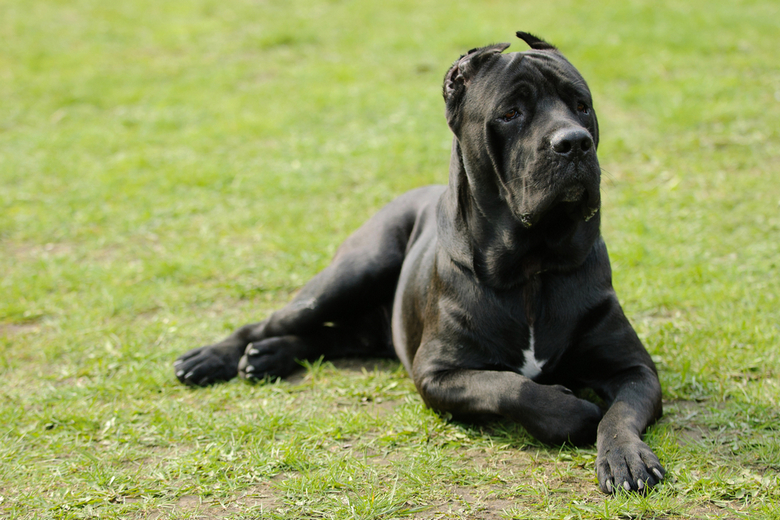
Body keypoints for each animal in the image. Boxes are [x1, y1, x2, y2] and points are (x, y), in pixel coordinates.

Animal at [175, 32, 664, 496]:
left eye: (581, 106)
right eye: (510, 113)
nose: (574, 142)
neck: (530, 266)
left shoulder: (635, 370)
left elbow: (619, 413)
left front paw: (625, 459)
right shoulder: (437, 373)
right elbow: (513, 387)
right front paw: (574, 407)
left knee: (336, 336)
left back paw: (269, 356)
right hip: (350, 274)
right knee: (273, 321)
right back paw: (210, 359)